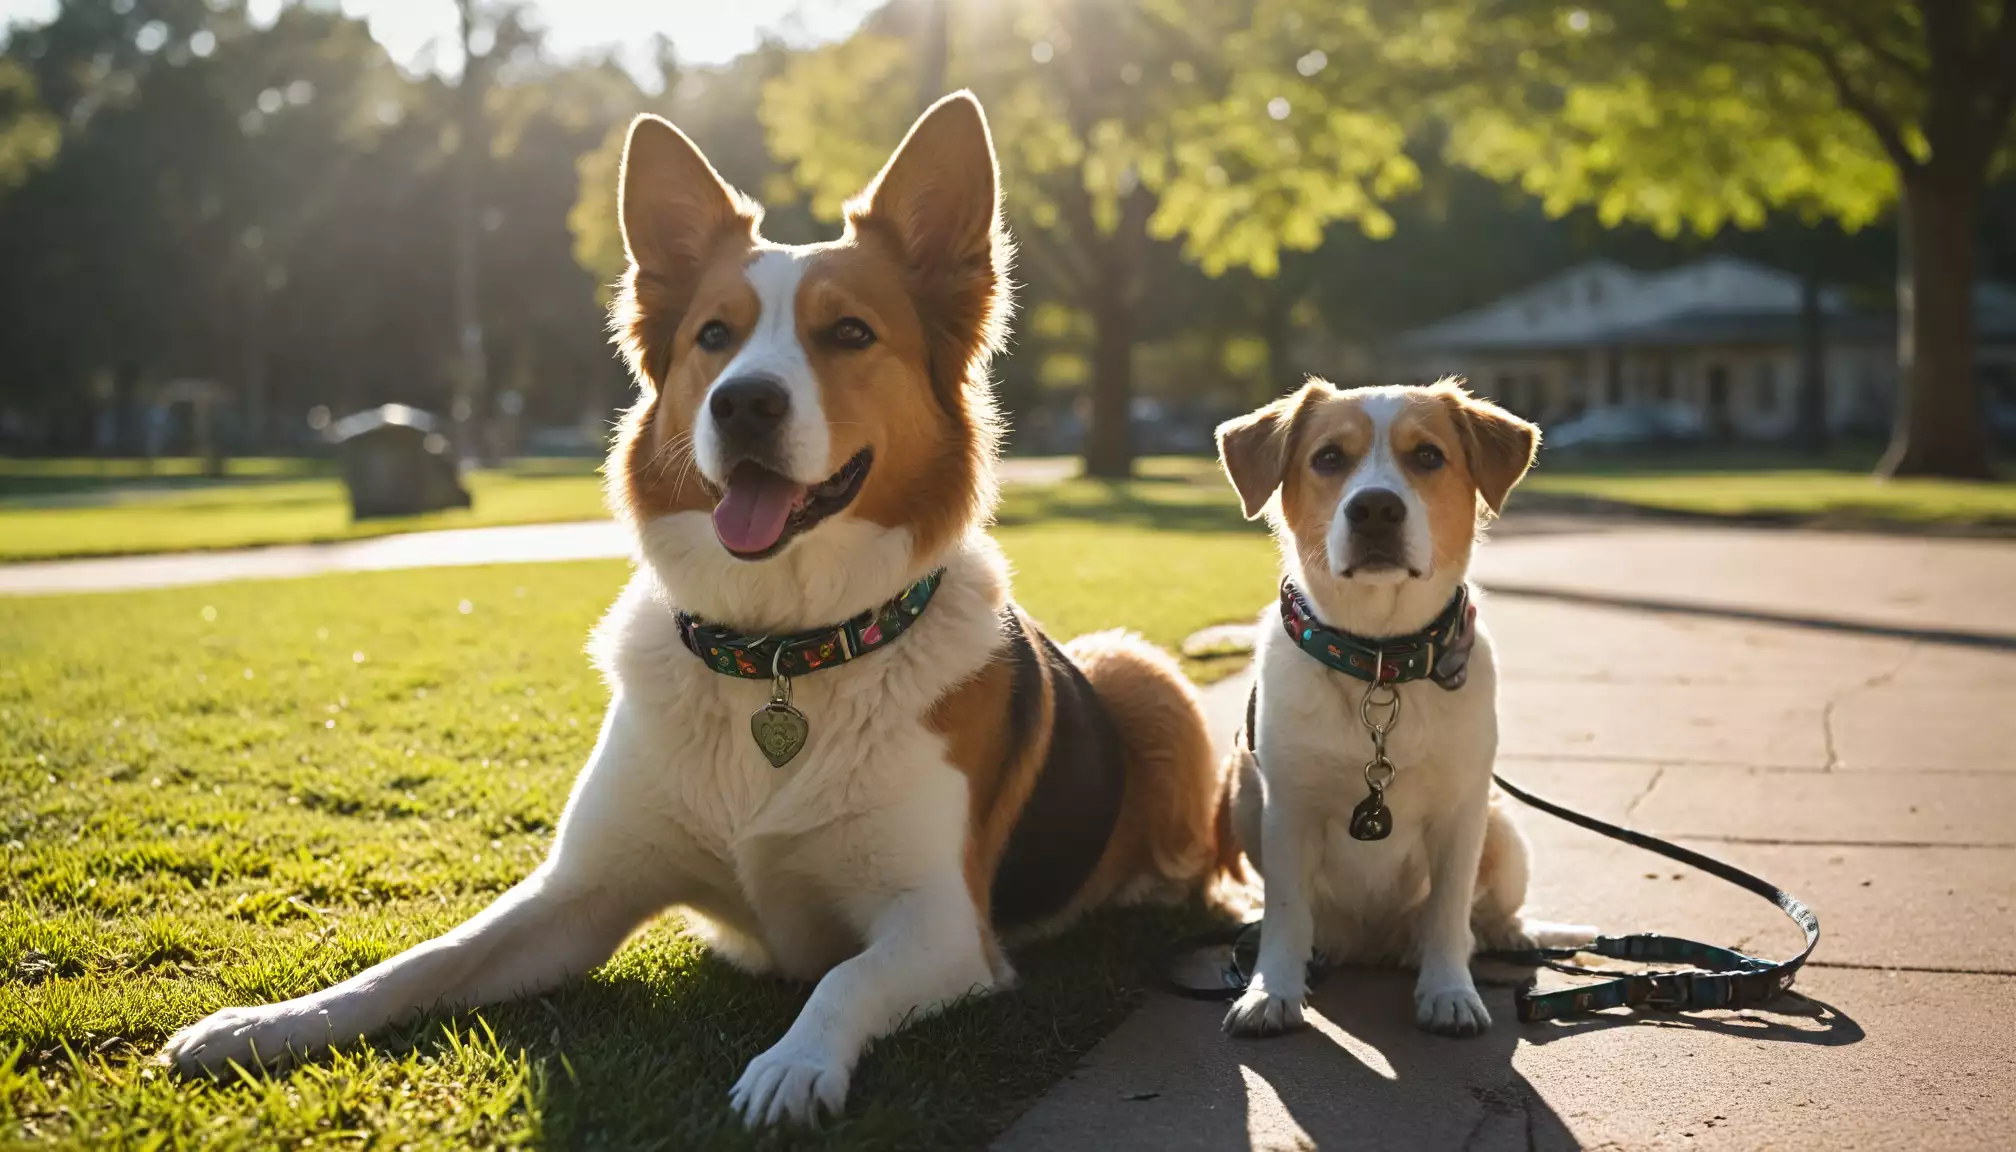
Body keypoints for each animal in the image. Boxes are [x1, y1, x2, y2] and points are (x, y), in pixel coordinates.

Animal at [161, 94, 1225, 1129]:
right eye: (715, 335)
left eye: (850, 333)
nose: (743, 402)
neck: (781, 651)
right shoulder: (579, 893)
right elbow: (428, 958)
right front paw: (268, 1022)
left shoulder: (944, 927)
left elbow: (843, 978)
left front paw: (794, 1065)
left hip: (1143, 673)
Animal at [1209, 381, 1588, 1049]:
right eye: (1329, 457)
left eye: (1429, 455)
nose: (1376, 509)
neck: (1381, 662)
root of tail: (1374, 946)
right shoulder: (1287, 812)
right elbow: (1285, 914)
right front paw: (1270, 991)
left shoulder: (1463, 814)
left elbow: (1448, 913)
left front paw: (1449, 992)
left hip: (1503, 829)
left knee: (1485, 916)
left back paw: (1508, 934)